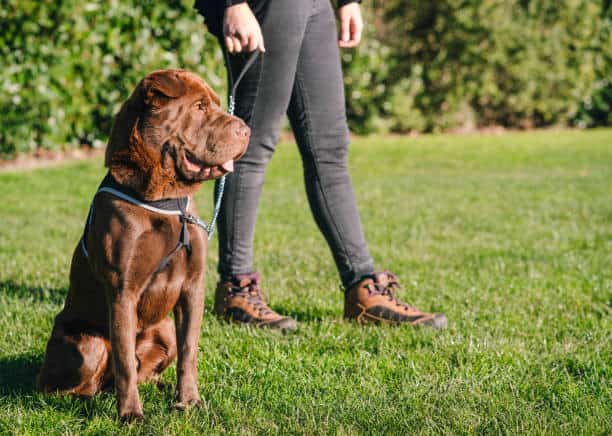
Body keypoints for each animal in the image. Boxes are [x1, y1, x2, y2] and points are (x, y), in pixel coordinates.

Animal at [37, 70, 249, 420]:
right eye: (200, 107)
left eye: (216, 104)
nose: (246, 129)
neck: (163, 197)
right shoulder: (123, 290)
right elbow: (124, 361)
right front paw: (130, 415)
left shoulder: (193, 286)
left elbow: (189, 350)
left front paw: (188, 401)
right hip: (86, 344)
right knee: (73, 383)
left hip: (162, 331)